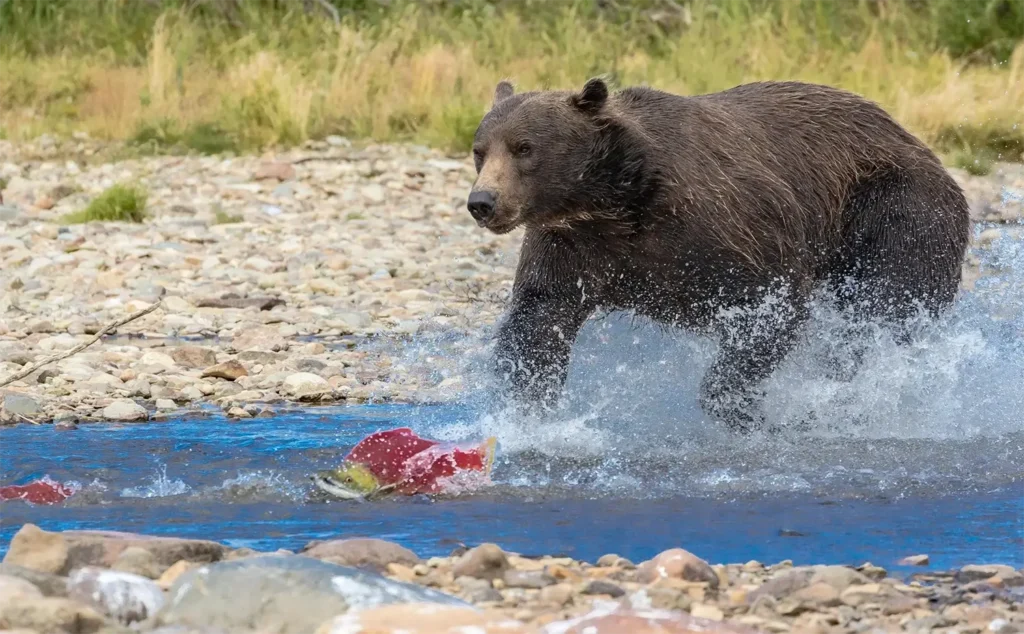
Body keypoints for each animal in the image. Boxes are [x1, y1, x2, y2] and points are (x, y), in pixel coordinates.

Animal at [466, 77, 971, 433]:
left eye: (525, 147)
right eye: (479, 150)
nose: (482, 202)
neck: (617, 202)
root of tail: (918, 143)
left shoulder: (725, 227)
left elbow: (770, 306)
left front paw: (745, 408)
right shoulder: (573, 248)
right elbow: (538, 320)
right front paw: (527, 413)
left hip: (897, 208)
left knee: (884, 305)